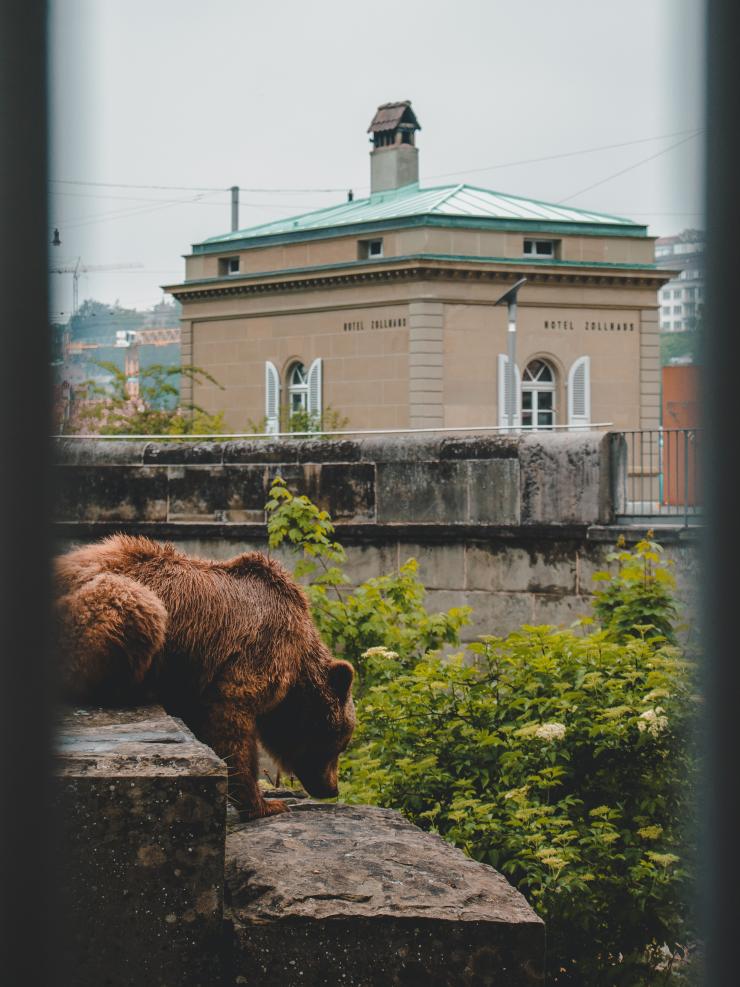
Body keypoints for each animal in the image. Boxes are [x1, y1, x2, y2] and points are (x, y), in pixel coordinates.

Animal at [55, 536, 356, 824]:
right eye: (340, 742)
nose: (332, 788)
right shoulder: (261, 648)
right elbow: (231, 716)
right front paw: (266, 805)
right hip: (114, 600)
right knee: (134, 603)